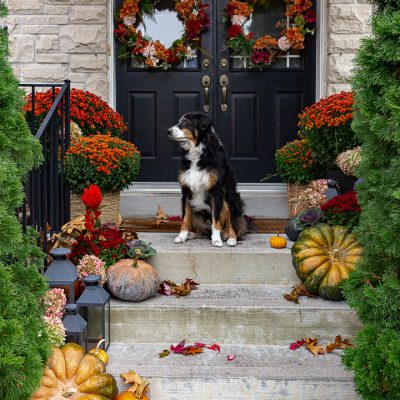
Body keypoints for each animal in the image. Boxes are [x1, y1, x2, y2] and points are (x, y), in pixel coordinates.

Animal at [167, 111, 255, 245]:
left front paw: (217, 239)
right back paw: (192, 234)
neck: (198, 152)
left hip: (230, 199)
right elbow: (185, 218)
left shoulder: (216, 190)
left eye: (187, 121)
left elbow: (216, 218)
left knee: (233, 223)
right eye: (179, 121)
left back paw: (231, 238)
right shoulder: (186, 190)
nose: (168, 131)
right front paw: (182, 236)